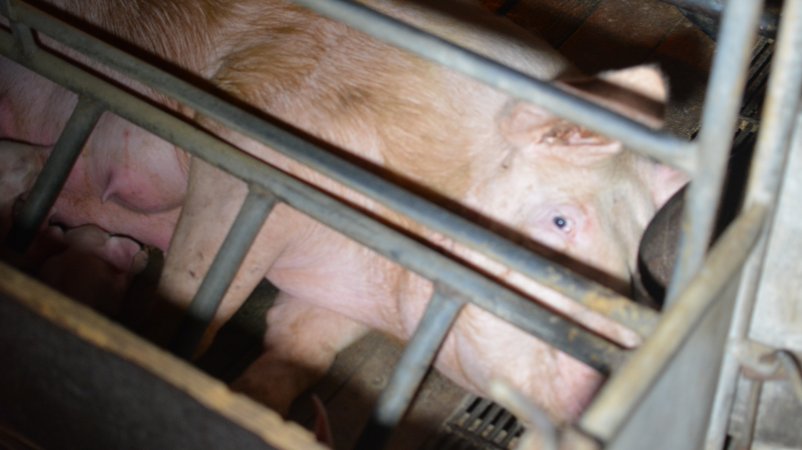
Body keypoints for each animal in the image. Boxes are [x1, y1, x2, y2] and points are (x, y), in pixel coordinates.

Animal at [0, 0, 684, 426]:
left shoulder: (341, 299)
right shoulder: (250, 139)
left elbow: (301, 353)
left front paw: (256, 406)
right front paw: (163, 355)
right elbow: (204, 288)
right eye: (560, 221)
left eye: (633, 276)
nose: (603, 387)